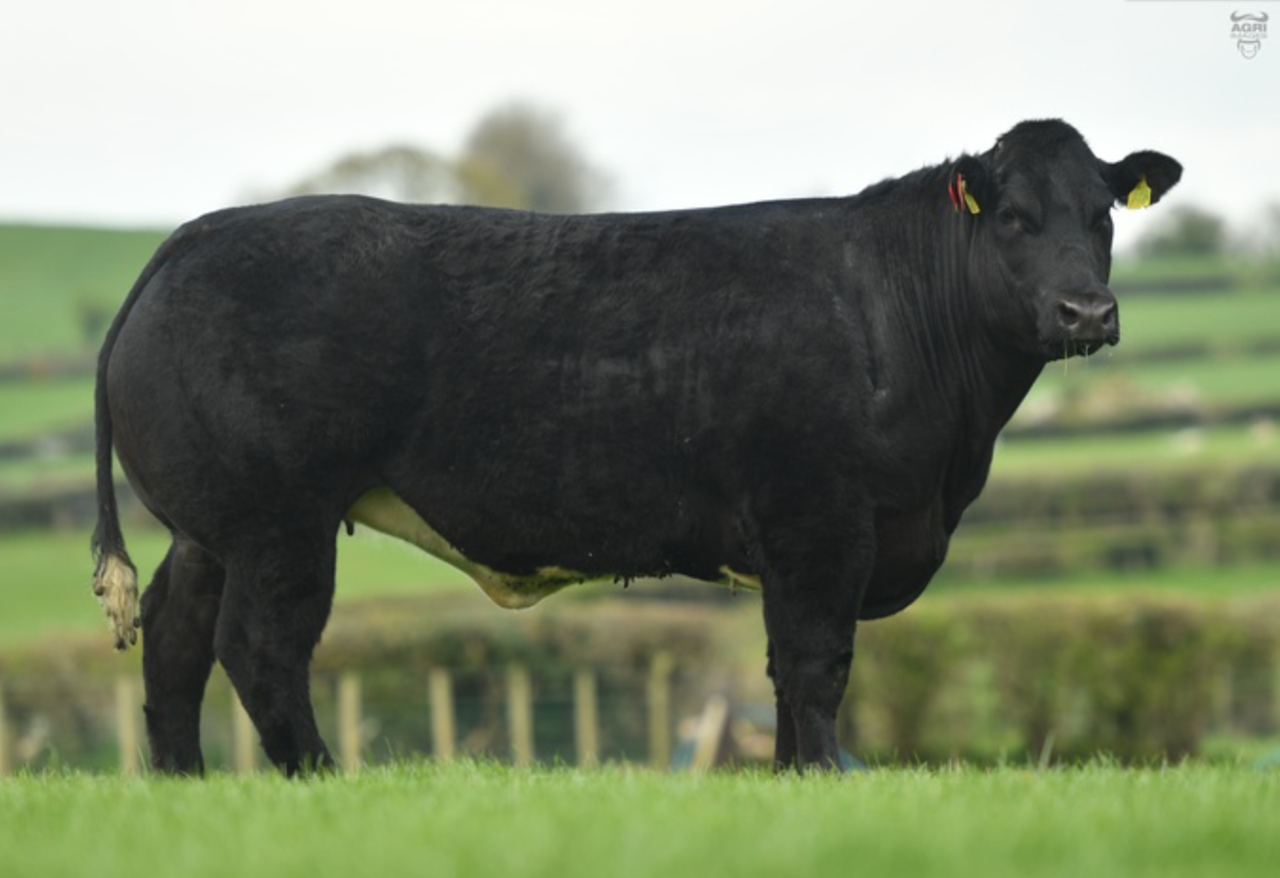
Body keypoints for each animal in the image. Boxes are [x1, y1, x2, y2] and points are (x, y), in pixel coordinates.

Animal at [90, 119, 1180, 775]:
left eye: (1101, 217)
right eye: (1013, 217)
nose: (1087, 310)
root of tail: (194, 235)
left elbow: (785, 669)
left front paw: (791, 778)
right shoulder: (818, 520)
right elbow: (817, 660)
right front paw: (823, 774)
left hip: (210, 529)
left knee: (175, 643)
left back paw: (188, 784)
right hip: (280, 522)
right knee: (260, 648)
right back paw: (319, 778)